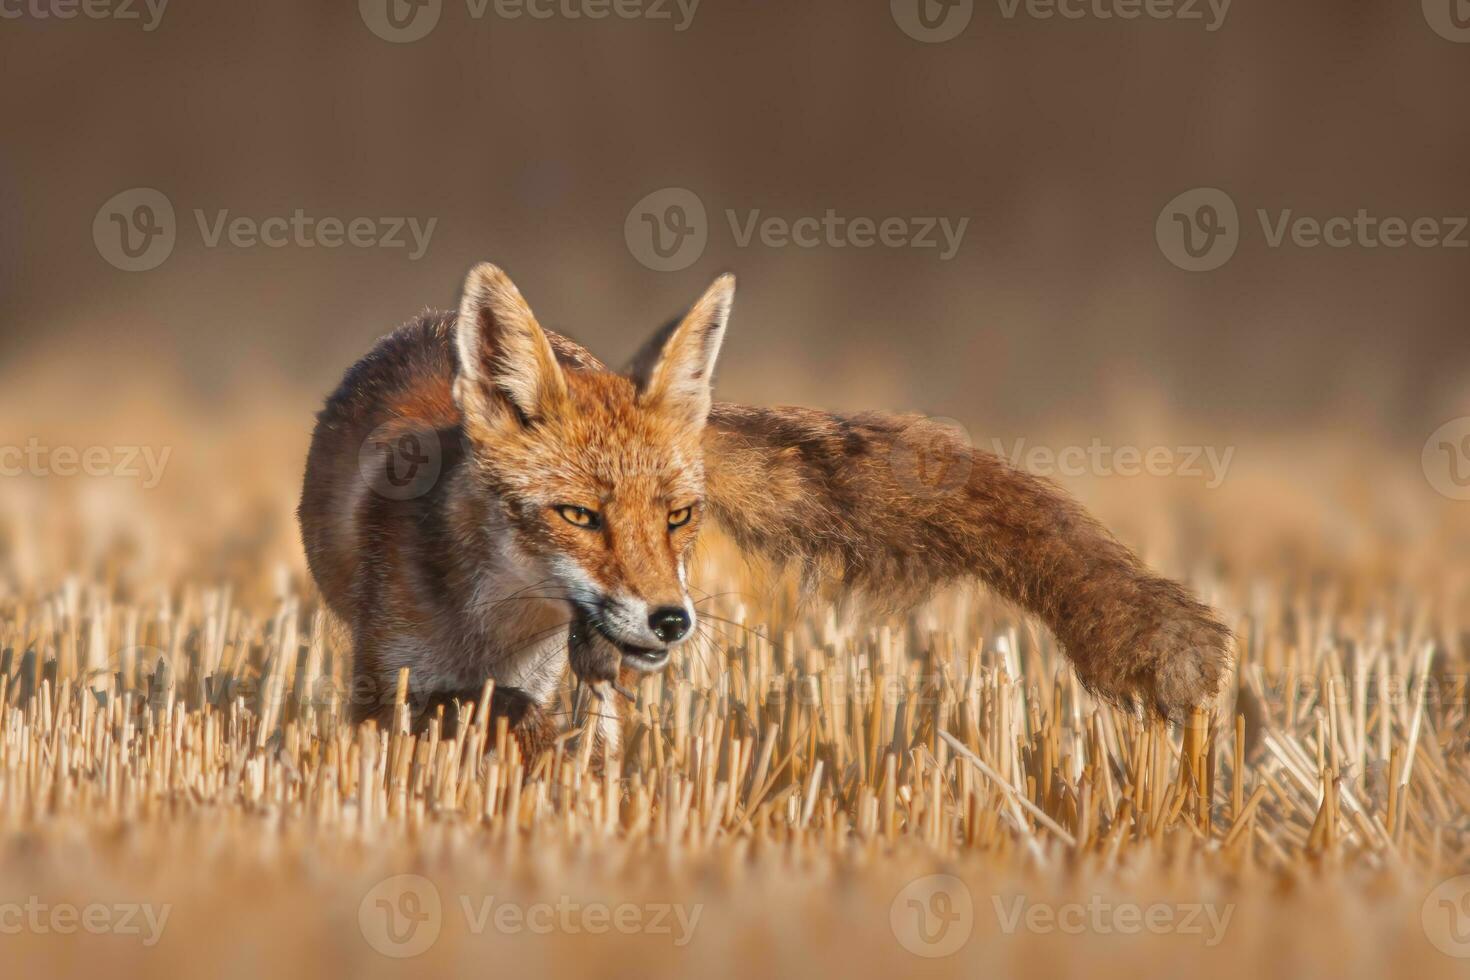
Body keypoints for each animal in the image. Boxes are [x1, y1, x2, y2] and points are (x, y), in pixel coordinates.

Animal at [295, 264, 1228, 746]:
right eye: (578, 516)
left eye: (678, 517)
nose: (672, 620)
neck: (485, 619)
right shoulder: (386, 685)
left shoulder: (527, 677)